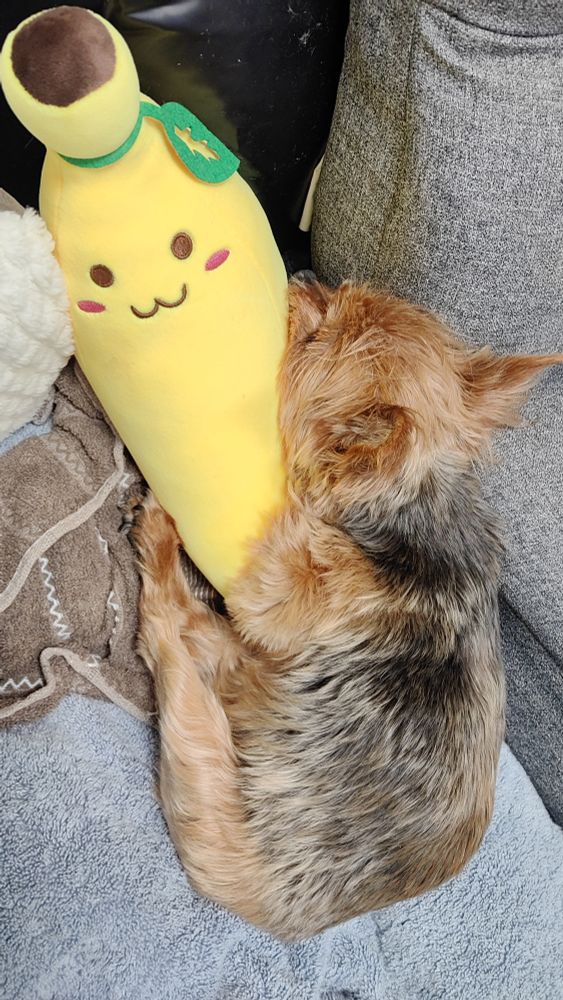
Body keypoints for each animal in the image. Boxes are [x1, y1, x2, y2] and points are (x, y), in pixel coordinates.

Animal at [131, 278, 562, 940]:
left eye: (314, 337)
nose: (303, 279)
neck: (415, 508)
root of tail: (292, 916)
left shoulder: (291, 591)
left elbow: (283, 569)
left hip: (209, 770)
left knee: (166, 633)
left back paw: (157, 537)